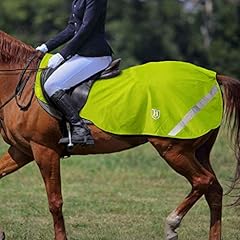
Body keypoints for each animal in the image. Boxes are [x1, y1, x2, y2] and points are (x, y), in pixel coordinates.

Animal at [0, 30, 240, 240]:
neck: (19, 83)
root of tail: (211, 76)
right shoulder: (23, 150)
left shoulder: (44, 150)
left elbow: (55, 201)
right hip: (198, 151)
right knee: (213, 190)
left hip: (174, 150)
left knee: (203, 181)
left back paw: (171, 225)